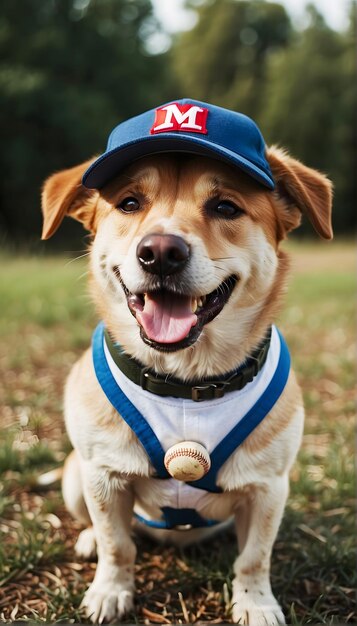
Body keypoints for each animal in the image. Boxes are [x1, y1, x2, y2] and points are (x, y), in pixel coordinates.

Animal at [41, 100, 330, 620]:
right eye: (129, 203)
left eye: (225, 207)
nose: (159, 252)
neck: (185, 380)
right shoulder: (103, 477)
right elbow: (117, 544)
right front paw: (110, 590)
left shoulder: (269, 487)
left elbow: (255, 557)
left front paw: (255, 603)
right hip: (75, 476)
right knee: (103, 527)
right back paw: (89, 540)